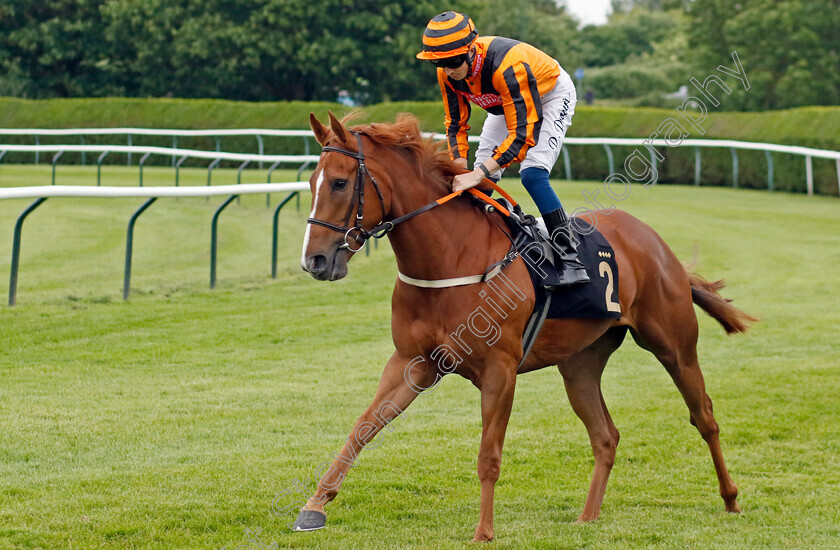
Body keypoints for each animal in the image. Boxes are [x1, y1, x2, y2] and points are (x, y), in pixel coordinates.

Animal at [296, 112, 756, 544]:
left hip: (674, 346)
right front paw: (314, 507)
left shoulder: (500, 371)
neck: (452, 256)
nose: (314, 261)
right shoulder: (412, 362)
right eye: (312, 183)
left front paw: (483, 531)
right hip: (580, 364)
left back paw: (731, 498)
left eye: (339, 183)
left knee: (705, 418)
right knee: (605, 436)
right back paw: (587, 517)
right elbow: (362, 429)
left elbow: (488, 455)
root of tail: (655, 242)